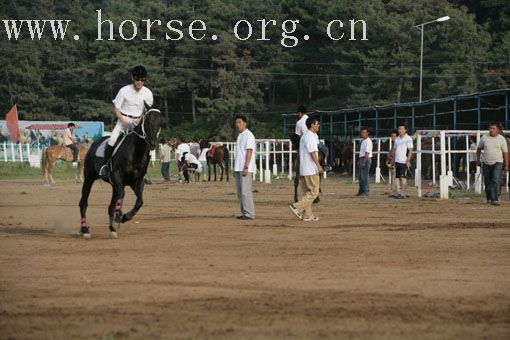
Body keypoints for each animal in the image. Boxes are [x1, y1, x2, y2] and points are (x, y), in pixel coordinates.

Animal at [78, 109, 161, 239]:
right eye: (147, 122)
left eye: (159, 124)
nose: (152, 143)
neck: (136, 151)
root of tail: (94, 143)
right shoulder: (117, 176)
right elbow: (122, 195)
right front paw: (119, 218)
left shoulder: (137, 181)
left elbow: (139, 201)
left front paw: (124, 218)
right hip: (89, 178)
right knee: (83, 203)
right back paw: (85, 229)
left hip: (113, 185)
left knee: (110, 206)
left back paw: (112, 228)